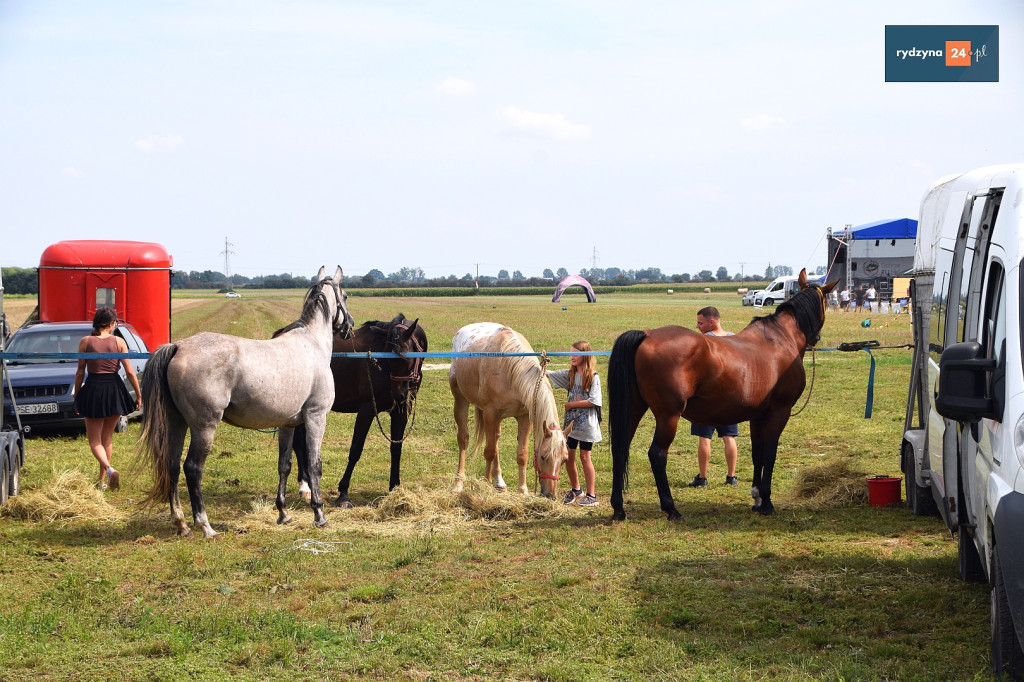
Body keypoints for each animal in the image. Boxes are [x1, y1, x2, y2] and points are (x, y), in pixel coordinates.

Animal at [136, 266, 354, 536]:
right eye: (345, 296)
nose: (350, 326)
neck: (311, 343)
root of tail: (177, 347)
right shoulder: (316, 417)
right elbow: (314, 465)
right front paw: (319, 514)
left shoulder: (288, 424)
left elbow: (284, 465)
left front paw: (283, 514)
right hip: (204, 427)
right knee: (192, 469)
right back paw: (205, 526)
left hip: (177, 423)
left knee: (173, 465)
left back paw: (181, 523)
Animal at [288, 313, 428, 503]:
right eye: (390, 357)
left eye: (407, 357)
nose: (399, 394)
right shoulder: (367, 409)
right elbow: (356, 449)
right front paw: (343, 492)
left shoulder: (401, 411)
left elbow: (396, 448)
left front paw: (394, 487)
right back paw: (305, 486)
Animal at [450, 321, 573, 497]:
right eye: (543, 457)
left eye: (564, 459)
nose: (550, 495)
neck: (510, 367)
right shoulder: (490, 413)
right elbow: (489, 452)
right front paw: (485, 484)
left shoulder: (524, 417)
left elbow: (522, 454)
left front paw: (522, 489)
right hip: (461, 400)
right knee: (464, 439)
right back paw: (459, 483)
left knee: (495, 439)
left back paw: (499, 481)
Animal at [606, 268, 831, 518]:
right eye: (827, 301)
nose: (816, 338)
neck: (781, 338)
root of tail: (646, 334)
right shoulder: (779, 411)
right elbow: (770, 454)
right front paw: (767, 503)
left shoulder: (757, 415)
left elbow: (758, 453)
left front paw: (756, 498)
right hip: (668, 415)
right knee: (657, 454)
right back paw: (671, 508)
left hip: (634, 409)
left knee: (620, 448)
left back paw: (619, 508)